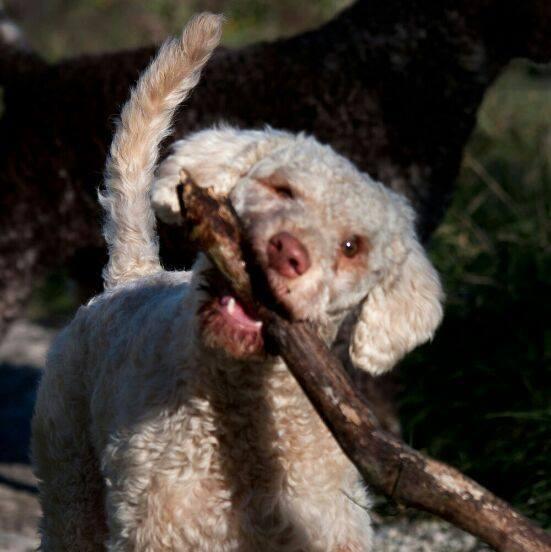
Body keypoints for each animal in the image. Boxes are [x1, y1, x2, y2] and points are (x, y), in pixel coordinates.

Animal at [31, 12, 444, 552]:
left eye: (352, 246)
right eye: (282, 189)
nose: (288, 252)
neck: (244, 413)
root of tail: (133, 273)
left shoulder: (325, 524)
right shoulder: (158, 526)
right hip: (69, 476)